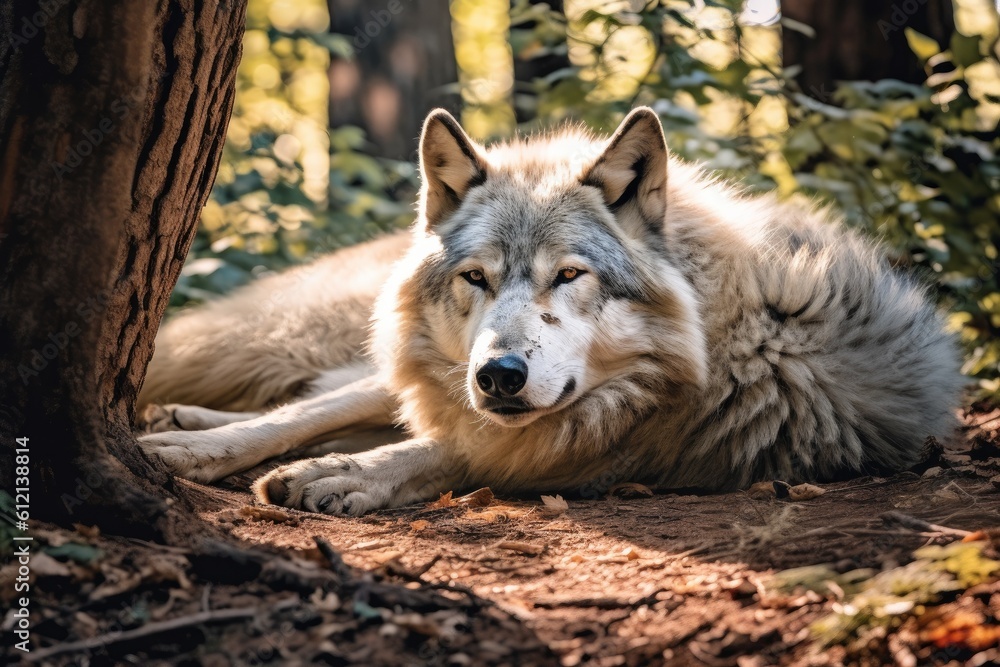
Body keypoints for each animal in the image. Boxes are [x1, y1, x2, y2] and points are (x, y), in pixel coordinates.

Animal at [138, 107, 963, 515]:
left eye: (570, 274)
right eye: (476, 276)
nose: (499, 375)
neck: (726, 330)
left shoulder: (618, 446)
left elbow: (455, 449)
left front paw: (348, 474)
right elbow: (322, 417)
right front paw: (197, 449)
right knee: (325, 395)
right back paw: (181, 425)